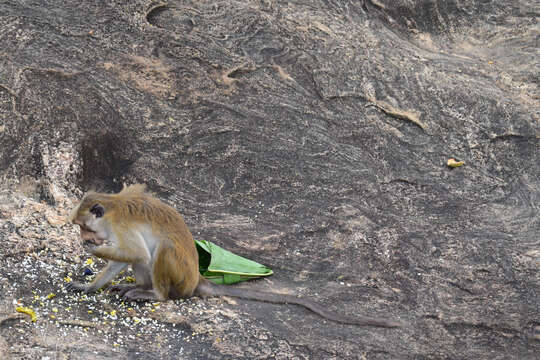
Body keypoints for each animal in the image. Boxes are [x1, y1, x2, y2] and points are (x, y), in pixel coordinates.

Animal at [66, 184, 400, 328]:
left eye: (83, 227)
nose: (84, 237)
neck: (111, 208)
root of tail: (195, 280)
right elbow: (125, 259)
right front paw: (88, 286)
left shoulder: (120, 227)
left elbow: (134, 251)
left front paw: (95, 250)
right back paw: (140, 287)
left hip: (180, 277)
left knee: (161, 251)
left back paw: (154, 294)